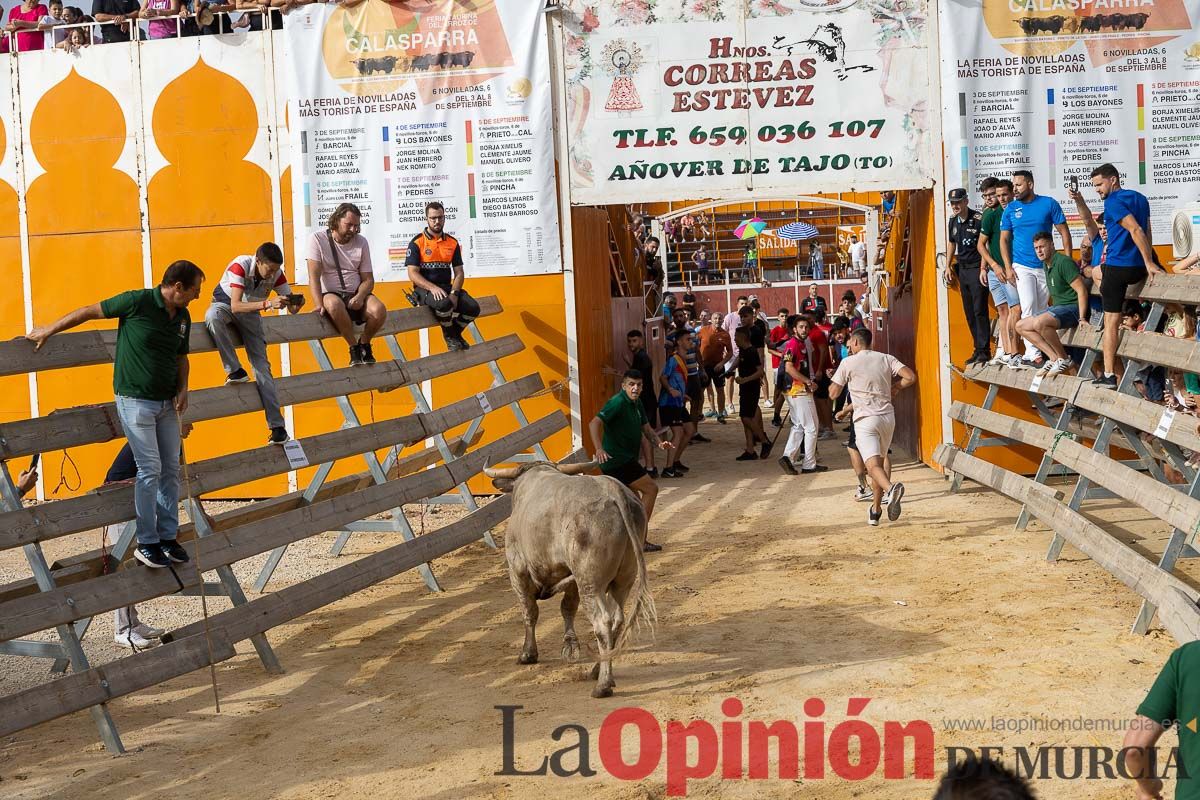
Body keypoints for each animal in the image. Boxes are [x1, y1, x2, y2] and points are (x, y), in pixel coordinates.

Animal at [484, 460, 657, 695]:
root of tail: (613, 490)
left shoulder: (517, 570)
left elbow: (530, 612)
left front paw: (528, 654)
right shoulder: (572, 578)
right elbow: (567, 608)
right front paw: (570, 645)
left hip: (590, 584)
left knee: (603, 623)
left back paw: (603, 685)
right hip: (623, 580)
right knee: (617, 619)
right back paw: (598, 669)